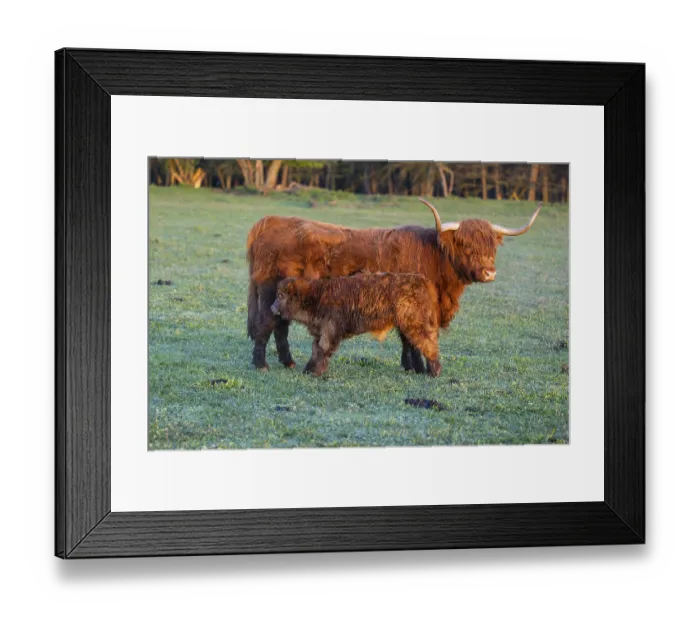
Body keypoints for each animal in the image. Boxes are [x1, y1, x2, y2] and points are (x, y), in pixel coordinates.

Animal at [270, 273, 442, 377]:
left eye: (281, 295)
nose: (272, 307)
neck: (316, 296)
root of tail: (421, 280)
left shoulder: (330, 331)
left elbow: (322, 351)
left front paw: (316, 372)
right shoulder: (320, 332)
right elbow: (315, 350)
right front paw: (308, 369)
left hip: (415, 326)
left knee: (429, 345)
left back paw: (434, 372)